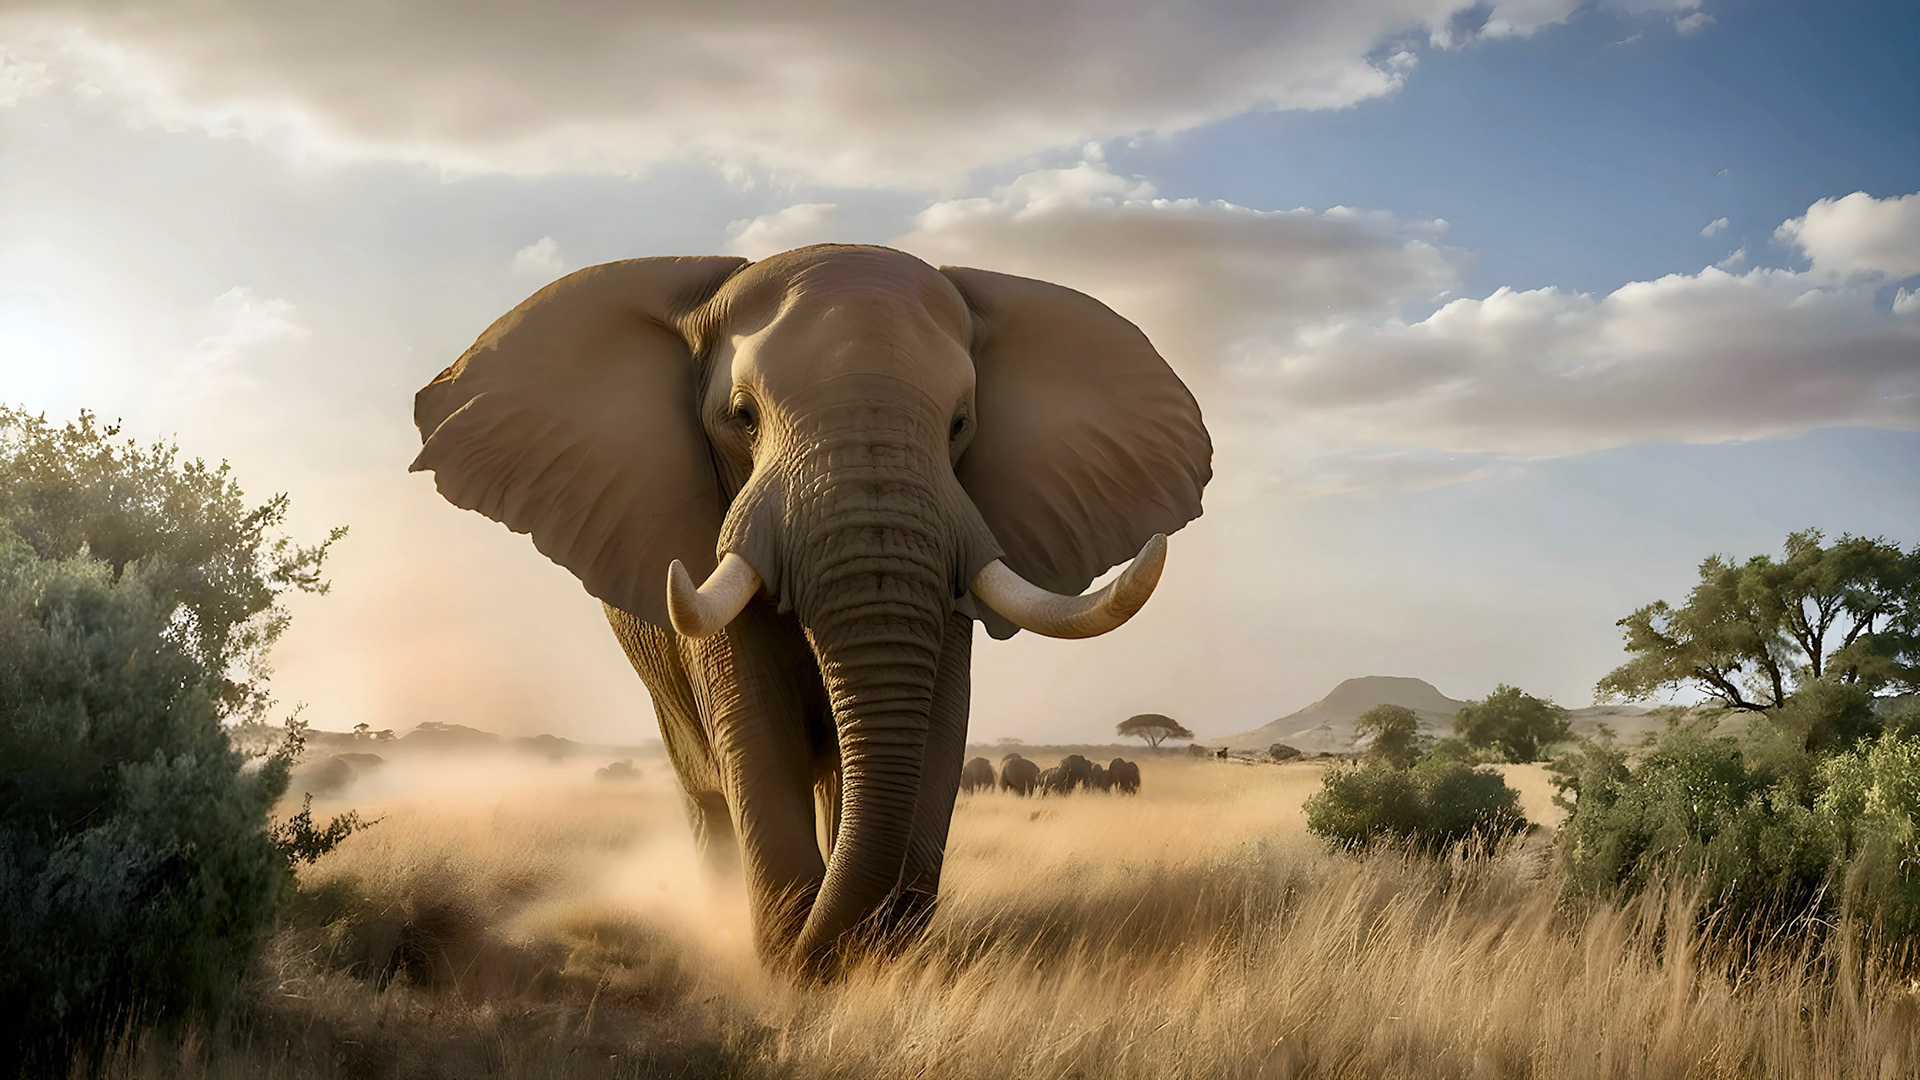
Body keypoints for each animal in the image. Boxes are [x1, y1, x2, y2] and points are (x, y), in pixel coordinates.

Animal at [411, 244, 1209, 974]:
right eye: (740, 417)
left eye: (960, 423)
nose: (832, 952)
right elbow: (754, 725)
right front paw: (793, 967)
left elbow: (941, 723)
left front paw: (874, 961)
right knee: (706, 791)